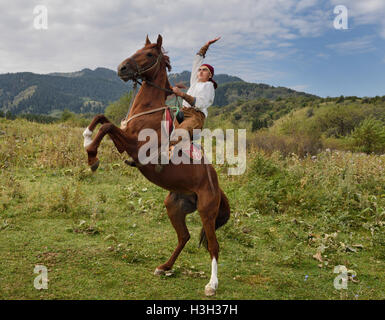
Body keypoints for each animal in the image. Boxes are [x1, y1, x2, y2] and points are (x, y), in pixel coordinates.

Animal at [82, 33, 230, 296]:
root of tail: (216, 185)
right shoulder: (124, 139)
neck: (148, 112)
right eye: (138, 49)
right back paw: (165, 267)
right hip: (174, 206)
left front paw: (92, 157)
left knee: (213, 246)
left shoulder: (137, 147)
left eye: (150, 54)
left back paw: (212, 285)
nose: (122, 68)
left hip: (207, 211)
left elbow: (107, 126)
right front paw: (87, 137)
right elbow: (102, 119)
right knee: (184, 237)